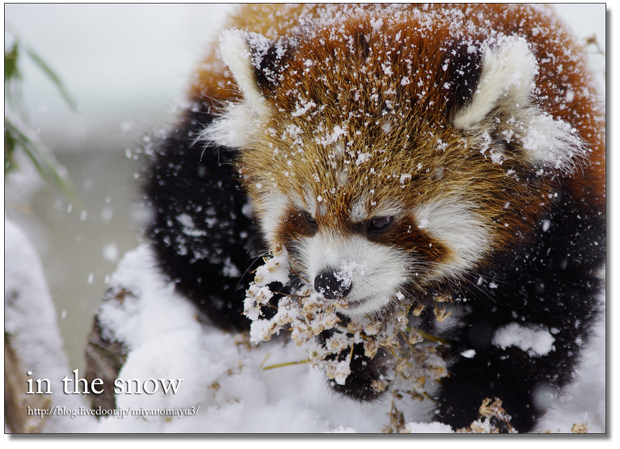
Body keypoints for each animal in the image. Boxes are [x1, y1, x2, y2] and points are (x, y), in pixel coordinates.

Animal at [143, 3, 604, 430]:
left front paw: (474, 413)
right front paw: (351, 363)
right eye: (307, 218)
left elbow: (530, 333)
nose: (332, 283)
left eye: (380, 222)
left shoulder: (559, 225)